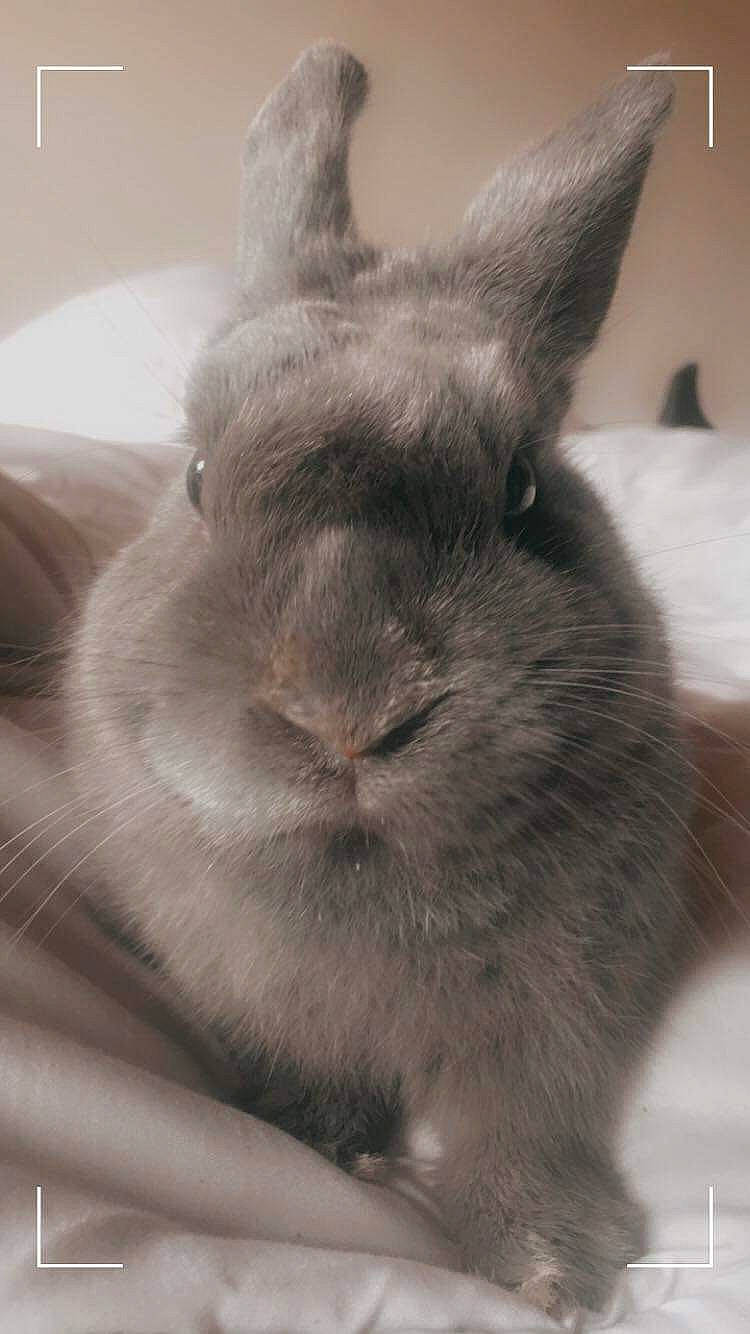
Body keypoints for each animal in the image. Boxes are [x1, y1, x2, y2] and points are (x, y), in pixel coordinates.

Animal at [65, 43, 695, 1316]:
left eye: (522, 488)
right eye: (194, 477)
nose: (348, 715)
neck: (362, 863)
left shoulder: (556, 1023)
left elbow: (521, 1128)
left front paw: (555, 1269)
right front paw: (319, 1137)